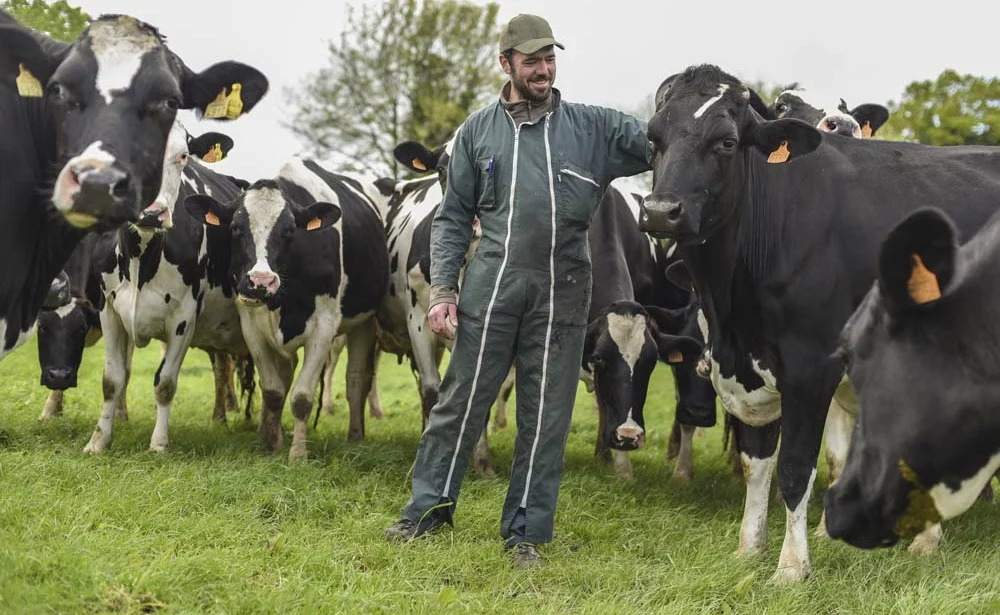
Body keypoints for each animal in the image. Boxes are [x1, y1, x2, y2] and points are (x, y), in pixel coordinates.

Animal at [84, 120, 252, 454]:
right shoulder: (108, 310)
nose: (152, 213)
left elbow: (165, 383)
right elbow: (112, 380)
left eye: (183, 155)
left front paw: (159, 443)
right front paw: (98, 440)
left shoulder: (184, 318)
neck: (141, 258)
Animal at [186, 159, 388, 462]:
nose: (261, 281)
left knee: (355, 380)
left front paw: (298, 455)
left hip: (363, 322)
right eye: (235, 228)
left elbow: (302, 396)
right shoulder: (252, 325)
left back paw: (355, 437)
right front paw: (272, 445)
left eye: (290, 230)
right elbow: (273, 390)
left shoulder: (324, 327)